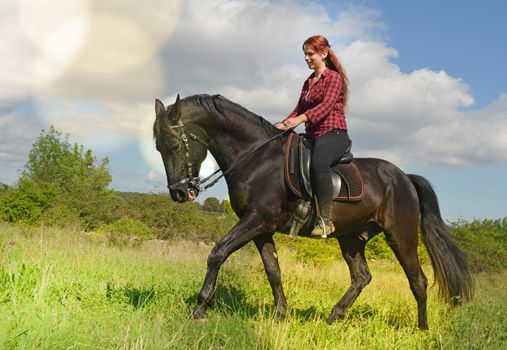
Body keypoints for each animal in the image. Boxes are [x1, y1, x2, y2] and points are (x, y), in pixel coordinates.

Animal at [153, 93, 474, 328]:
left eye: (172, 144)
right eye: (157, 147)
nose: (179, 193)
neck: (256, 157)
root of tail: (405, 178)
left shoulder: (256, 220)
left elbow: (217, 253)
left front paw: (200, 308)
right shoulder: (261, 227)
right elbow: (273, 270)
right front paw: (281, 315)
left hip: (401, 236)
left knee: (418, 280)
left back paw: (422, 329)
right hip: (351, 238)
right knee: (362, 277)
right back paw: (334, 317)